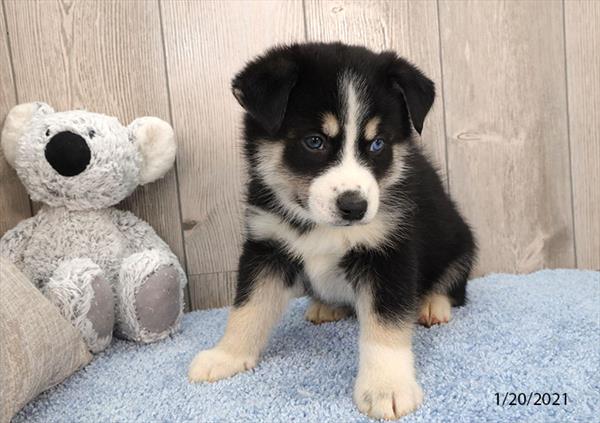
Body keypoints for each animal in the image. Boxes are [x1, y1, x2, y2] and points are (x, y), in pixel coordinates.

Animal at [190, 43, 476, 420]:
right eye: (314, 141)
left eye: (377, 144)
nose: (355, 207)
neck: (322, 226)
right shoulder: (267, 246)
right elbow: (248, 307)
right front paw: (226, 356)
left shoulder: (389, 251)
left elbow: (386, 324)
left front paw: (387, 387)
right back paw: (327, 306)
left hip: (459, 238)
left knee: (454, 285)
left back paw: (431, 304)